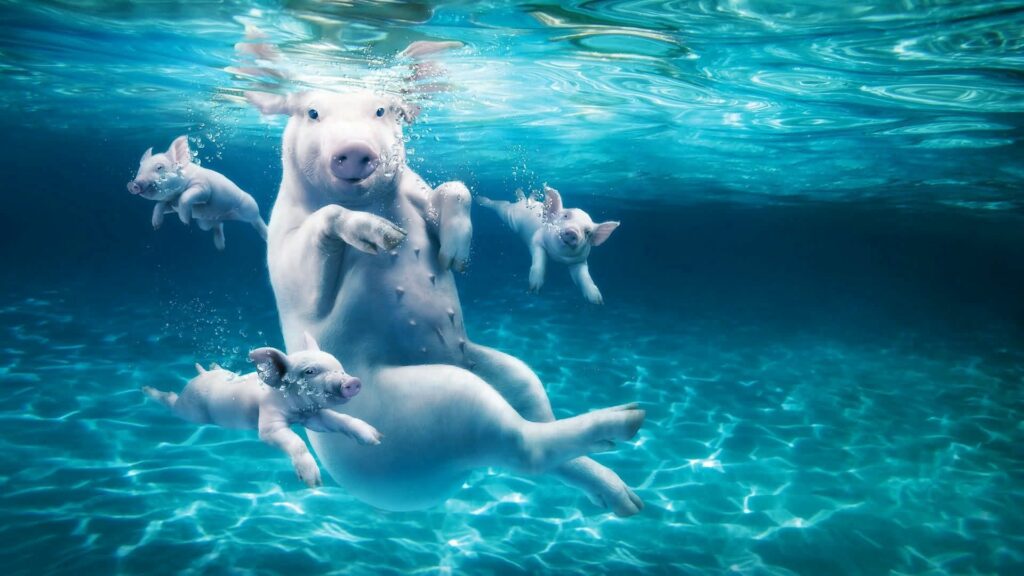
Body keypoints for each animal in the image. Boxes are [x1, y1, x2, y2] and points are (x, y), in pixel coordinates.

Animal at [127, 136, 269, 250]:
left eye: (159, 167)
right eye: (140, 170)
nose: (133, 184)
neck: (175, 196)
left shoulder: (203, 187)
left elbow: (186, 196)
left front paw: (186, 222)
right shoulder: (171, 204)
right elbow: (159, 205)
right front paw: (156, 226)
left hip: (250, 207)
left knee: (256, 219)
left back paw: (266, 235)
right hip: (204, 223)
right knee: (218, 225)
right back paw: (220, 247)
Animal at [142, 332, 380, 488]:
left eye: (341, 368)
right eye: (310, 371)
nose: (353, 382)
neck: (296, 410)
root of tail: (199, 377)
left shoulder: (312, 416)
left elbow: (339, 420)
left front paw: (376, 438)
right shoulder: (269, 422)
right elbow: (296, 441)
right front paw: (313, 483)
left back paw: (213, 365)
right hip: (189, 409)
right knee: (172, 402)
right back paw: (147, 389)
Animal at [478, 186, 620, 304]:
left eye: (588, 232)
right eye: (565, 216)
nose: (573, 231)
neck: (558, 257)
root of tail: (522, 202)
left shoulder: (579, 261)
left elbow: (584, 277)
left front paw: (598, 301)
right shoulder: (536, 241)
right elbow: (539, 261)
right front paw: (534, 290)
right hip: (509, 216)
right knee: (501, 204)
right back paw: (480, 199)